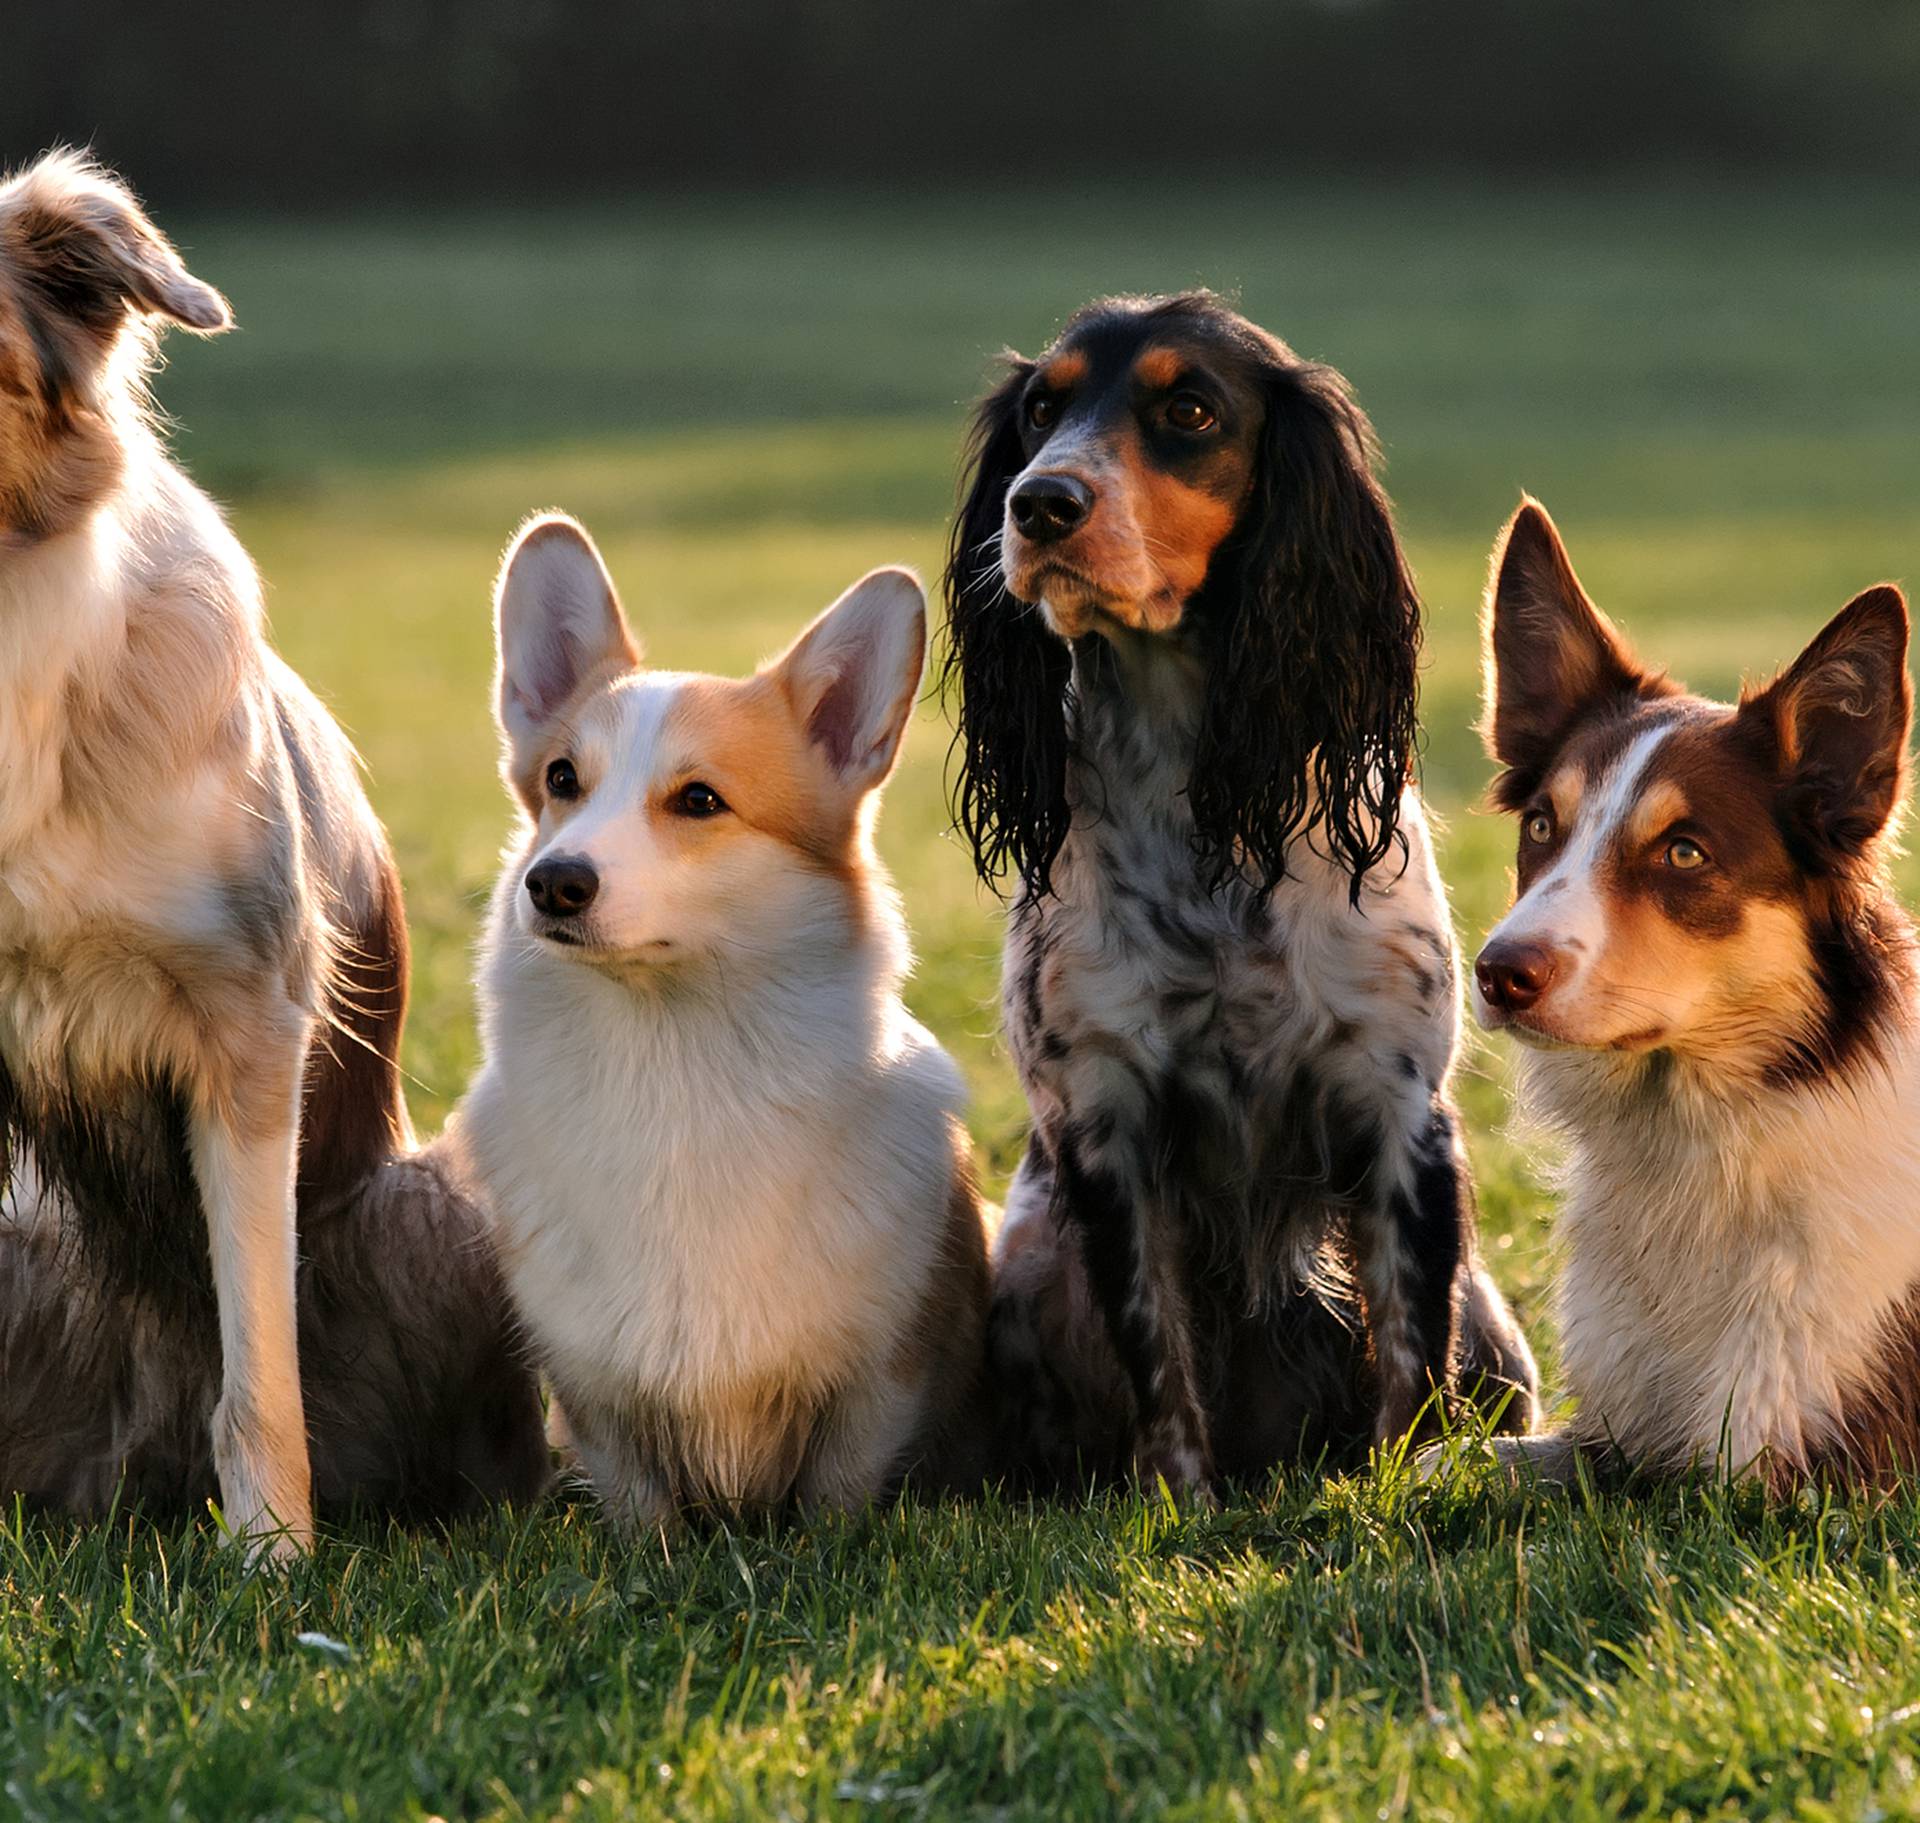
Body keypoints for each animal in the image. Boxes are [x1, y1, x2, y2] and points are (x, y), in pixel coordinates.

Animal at [460, 510, 990, 1521]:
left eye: (699, 799)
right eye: (562, 780)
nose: (552, 882)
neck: (676, 1065)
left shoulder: (878, 1382)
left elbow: (836, 1496)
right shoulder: (600, 1398)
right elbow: (641, 1505)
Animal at [936, 291, 1536, 1482]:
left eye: (1190, 409)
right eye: (1041, 411)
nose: (1040, 505)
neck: (1200, 809)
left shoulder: (1399, 1109)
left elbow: (1409, 1359)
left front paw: (1393, 1491)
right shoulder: (1105, 1121)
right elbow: (1159, 1357)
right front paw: (1179, 1499)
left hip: (1499, 1329)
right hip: (1027, 1271)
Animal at [1474, 495, 1912, 1482]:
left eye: (1684, 852)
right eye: (1542, 826)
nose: (1497, 973)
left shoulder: (1795, 1471)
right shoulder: (1617, 1426)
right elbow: (1462, 1455)